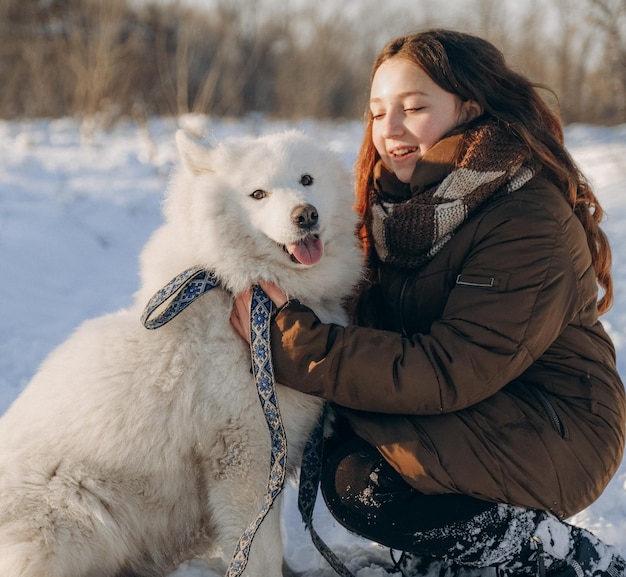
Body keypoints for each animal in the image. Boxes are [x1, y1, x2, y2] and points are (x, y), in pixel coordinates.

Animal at [0, 130, 360, 576]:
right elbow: (259, 549)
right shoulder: (246, 458)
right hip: (76, 512)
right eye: (258, 194)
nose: (305, 215)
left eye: (306, 179)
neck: (243, 289)